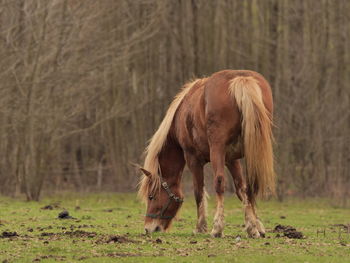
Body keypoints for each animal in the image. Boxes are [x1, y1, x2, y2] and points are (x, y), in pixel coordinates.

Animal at [138, 69, 274, 238]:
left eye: (151, 196)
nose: (148, 228)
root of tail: (240, 79)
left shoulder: (193, 158)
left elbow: (199, 191)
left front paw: (200, 226)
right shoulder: (231, 159)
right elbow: (240, 189)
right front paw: (254, 226)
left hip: (217, 149)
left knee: (220, 182)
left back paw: (217, 228)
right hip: (252, 153)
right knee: (250, 187)